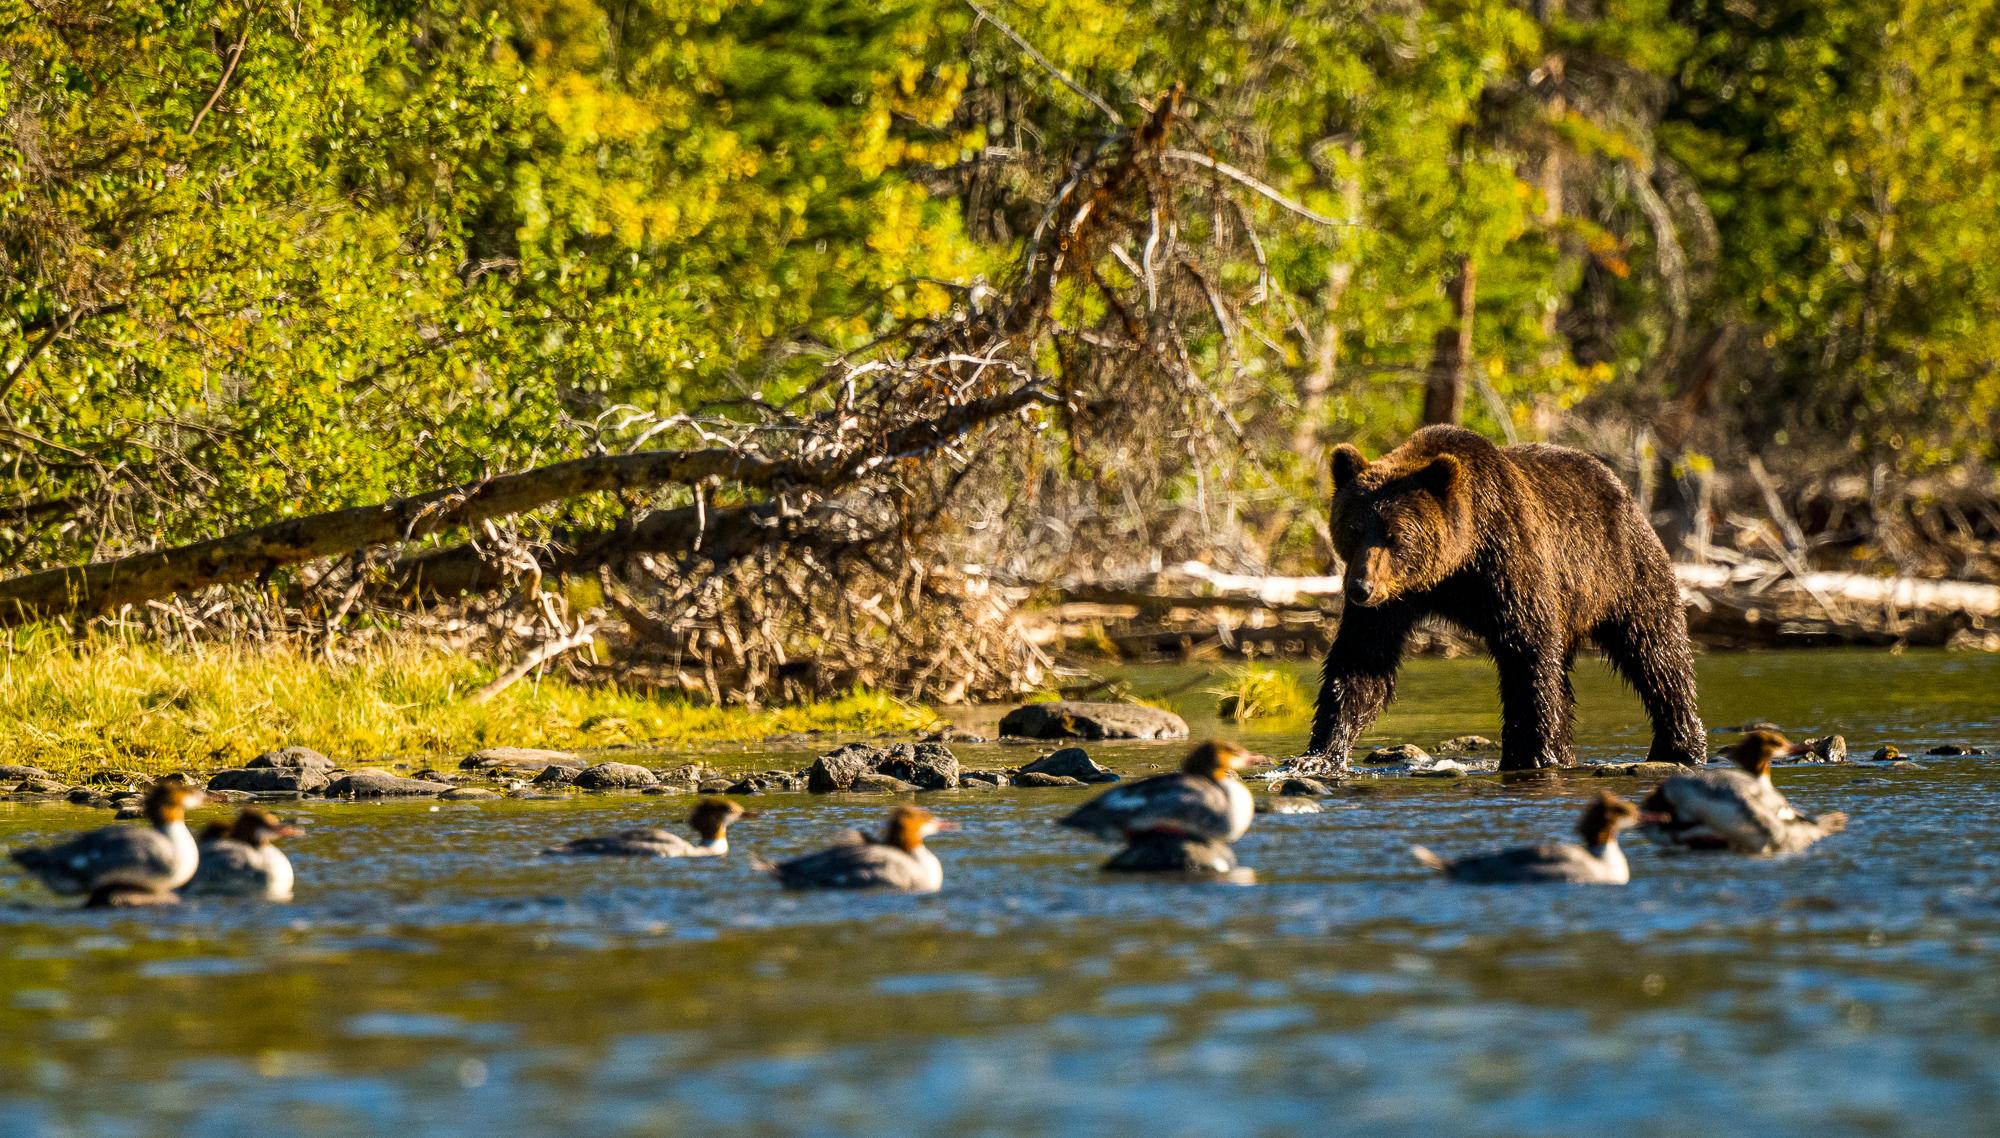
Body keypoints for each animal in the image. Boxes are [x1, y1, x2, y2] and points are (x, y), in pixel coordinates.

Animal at [1306, 425, 1704, 772]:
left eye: (1395, 536)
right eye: (1353, 530)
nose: (1361, 588)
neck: (1453, 566)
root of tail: (1616, 482)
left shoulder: (1506, 559)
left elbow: (1527, 650)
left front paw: (1531, 753)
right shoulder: (1395, 599)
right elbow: (1361, 660)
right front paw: (1321, 755)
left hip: (1621, 568)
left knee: (1656, 651)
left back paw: (1680, 744)